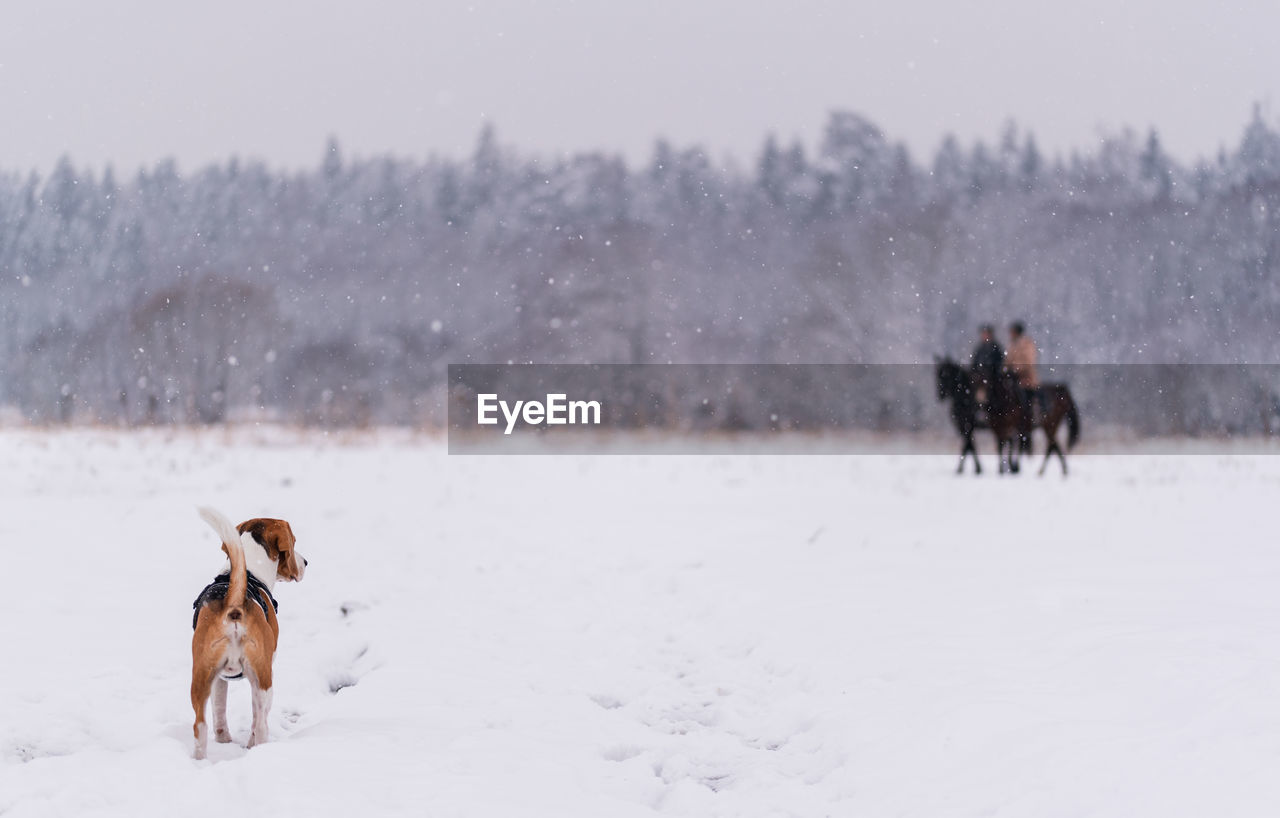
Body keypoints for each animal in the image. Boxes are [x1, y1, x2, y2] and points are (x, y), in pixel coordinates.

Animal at [190, 506, 305, 762]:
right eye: (294, 542)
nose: (305, 562)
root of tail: (234, 602)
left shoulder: (220, 679)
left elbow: (219, 713)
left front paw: (224, 740)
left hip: (201, 675)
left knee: (200, 726)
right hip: (263, 679)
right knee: (260, 724)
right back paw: (260, 750)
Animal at [942, 355, 1080, 476]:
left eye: (987, 383)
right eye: (974, 384)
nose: (940, 394)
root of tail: (1062, 390)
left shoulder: (969, 426)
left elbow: (970, 445)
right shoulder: (997, 428)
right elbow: (996, 446)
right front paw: (1002, 469)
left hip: (1050, 425)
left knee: (1051, 445)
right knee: (1053, 445)